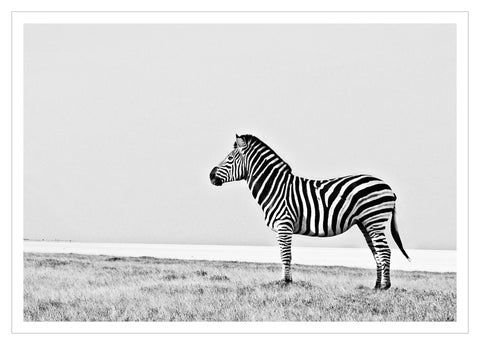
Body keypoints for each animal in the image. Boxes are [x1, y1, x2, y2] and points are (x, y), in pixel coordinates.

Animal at [208, 133, 410, 288]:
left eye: (230, 159)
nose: (211, 176)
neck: (275, 187)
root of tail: (389, 188)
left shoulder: (284, 224)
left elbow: (285, 255)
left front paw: (286, 283)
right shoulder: (283, 227)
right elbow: (284, 255)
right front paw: (286, 281)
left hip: (374, 220)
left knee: (385, 251)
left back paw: (385, 286)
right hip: (365, 223)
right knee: (376, 252)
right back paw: (376, 286)